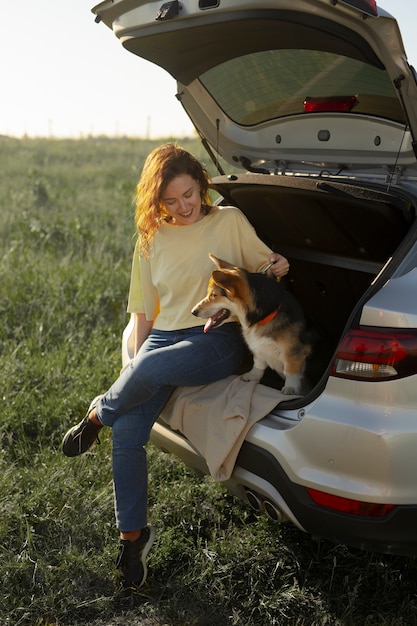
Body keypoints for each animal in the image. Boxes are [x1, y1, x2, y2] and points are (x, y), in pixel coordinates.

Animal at [190, 251, 310, 392]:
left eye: (214, 295)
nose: (193, 312)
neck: (264, 316)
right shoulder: (259, 349)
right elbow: (258, 362)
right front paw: (253, 376)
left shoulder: (293, 352)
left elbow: (291, 370)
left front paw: (290, 388)